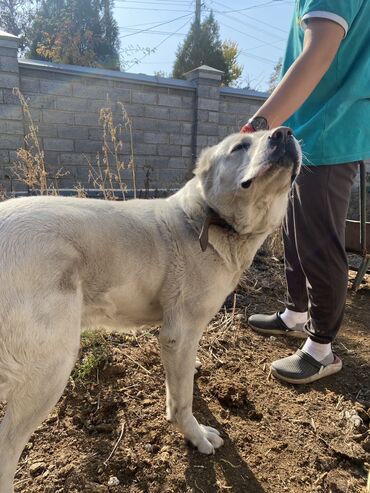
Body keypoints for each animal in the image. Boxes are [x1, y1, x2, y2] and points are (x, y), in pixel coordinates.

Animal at [0, 126, 300, 488]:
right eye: (240, 146)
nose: (285, 132)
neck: (203, 217)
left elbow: (181, 382)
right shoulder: (178, 334)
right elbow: (182, 400)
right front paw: (196, 435)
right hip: (51, 367)